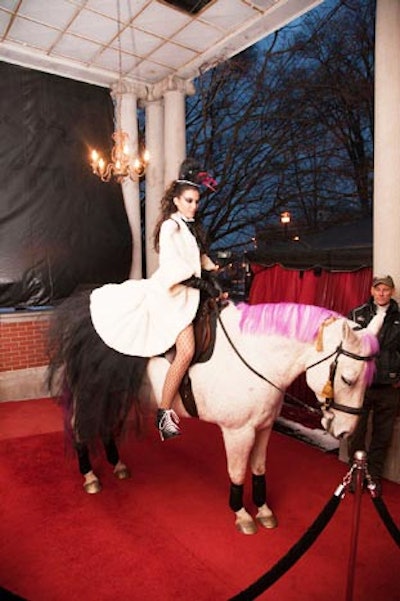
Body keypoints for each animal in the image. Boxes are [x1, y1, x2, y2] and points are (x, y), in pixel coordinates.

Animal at [50, 298, 378, 536]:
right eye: (348, 379)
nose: (346, 431)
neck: (257, 357)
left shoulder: (263, 428)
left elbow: (259, 469)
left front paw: (264, 510)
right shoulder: (238, 432)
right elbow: (237, 472)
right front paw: (242, 514)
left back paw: (117, 464)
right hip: (90, 391)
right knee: (79, 427)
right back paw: (90, 475)